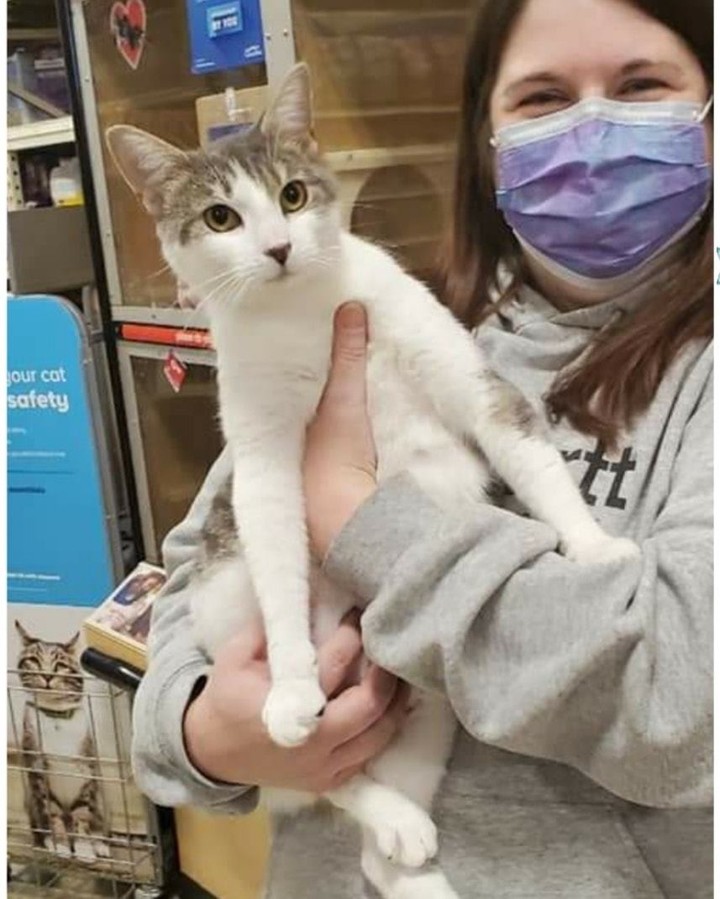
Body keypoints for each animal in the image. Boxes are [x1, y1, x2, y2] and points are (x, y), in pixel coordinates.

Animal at [14, 624, 109, 868]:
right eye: (34, 661)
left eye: (60, 665)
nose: (47, 676)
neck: (56, 718)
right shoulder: (37, 768)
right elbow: (52, 813)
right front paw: (62, 846)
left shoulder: (87, 771)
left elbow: (82, 814)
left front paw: (85, 849)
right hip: (30, 800)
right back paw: (48, 841)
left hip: (101, 798)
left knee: (96, 820)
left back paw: (99, 844)